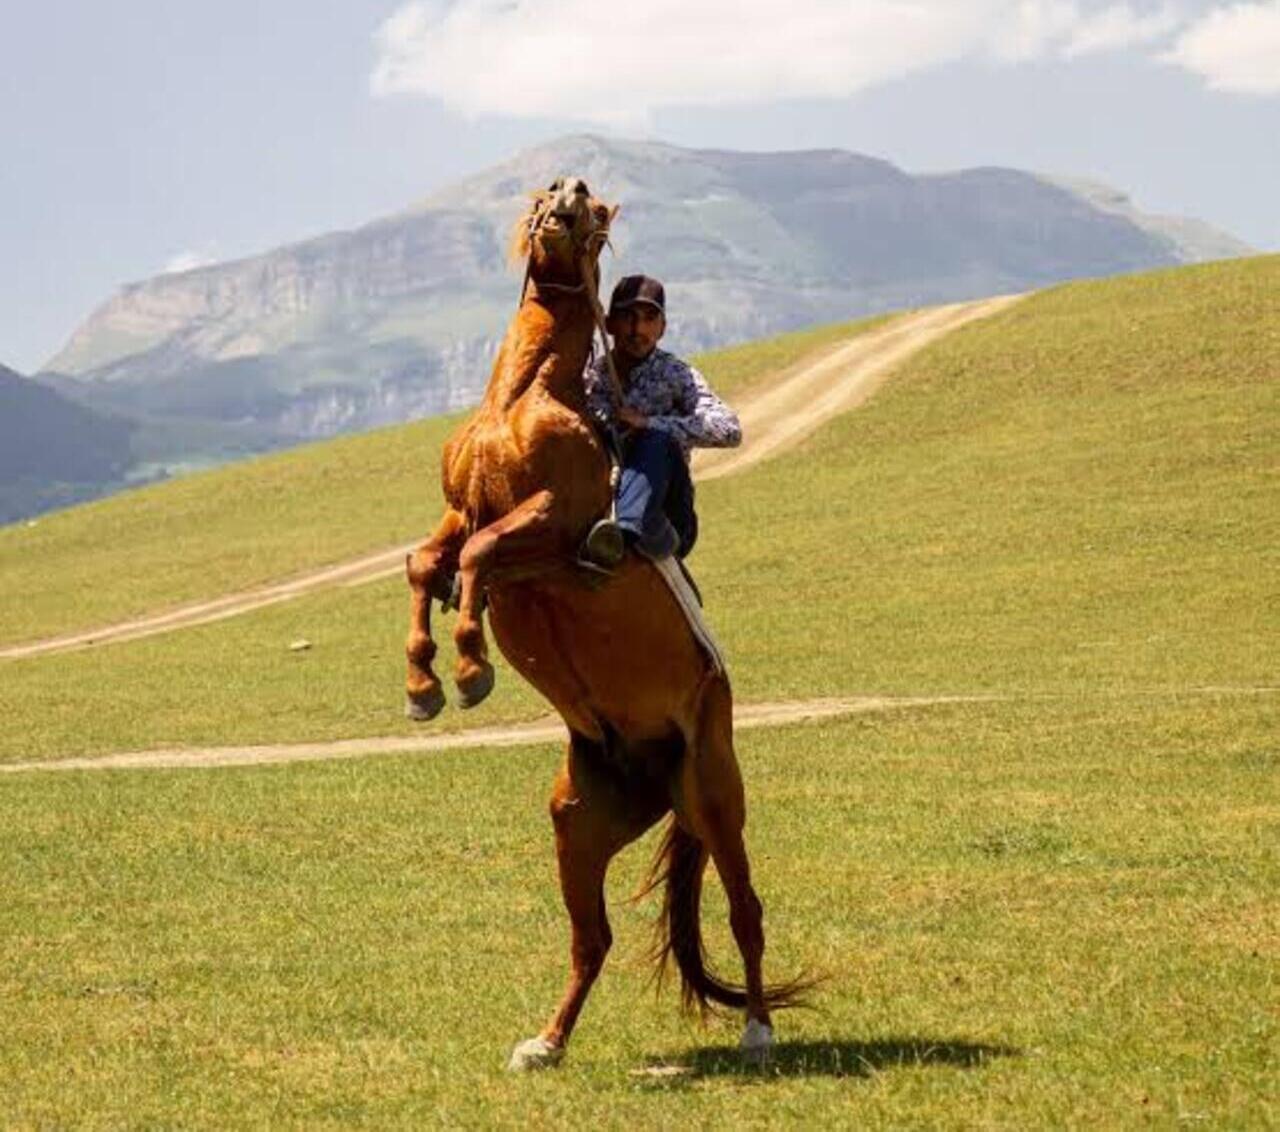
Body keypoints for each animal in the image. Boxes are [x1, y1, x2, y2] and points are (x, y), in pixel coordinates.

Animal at [403, 176, 806, 1070]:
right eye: (548, 190)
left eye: (589, 201)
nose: (562, 200)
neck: (525, 397)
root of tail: (657, 774)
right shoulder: (457, 511)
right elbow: (427, 562)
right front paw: (422, 683)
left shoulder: (550, 531)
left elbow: (482, 553)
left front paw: (471, 668)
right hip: (581, 826)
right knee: (593, 940)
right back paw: (545, 1044)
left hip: (715, 803)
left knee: (746, 911)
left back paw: (759, 1033)